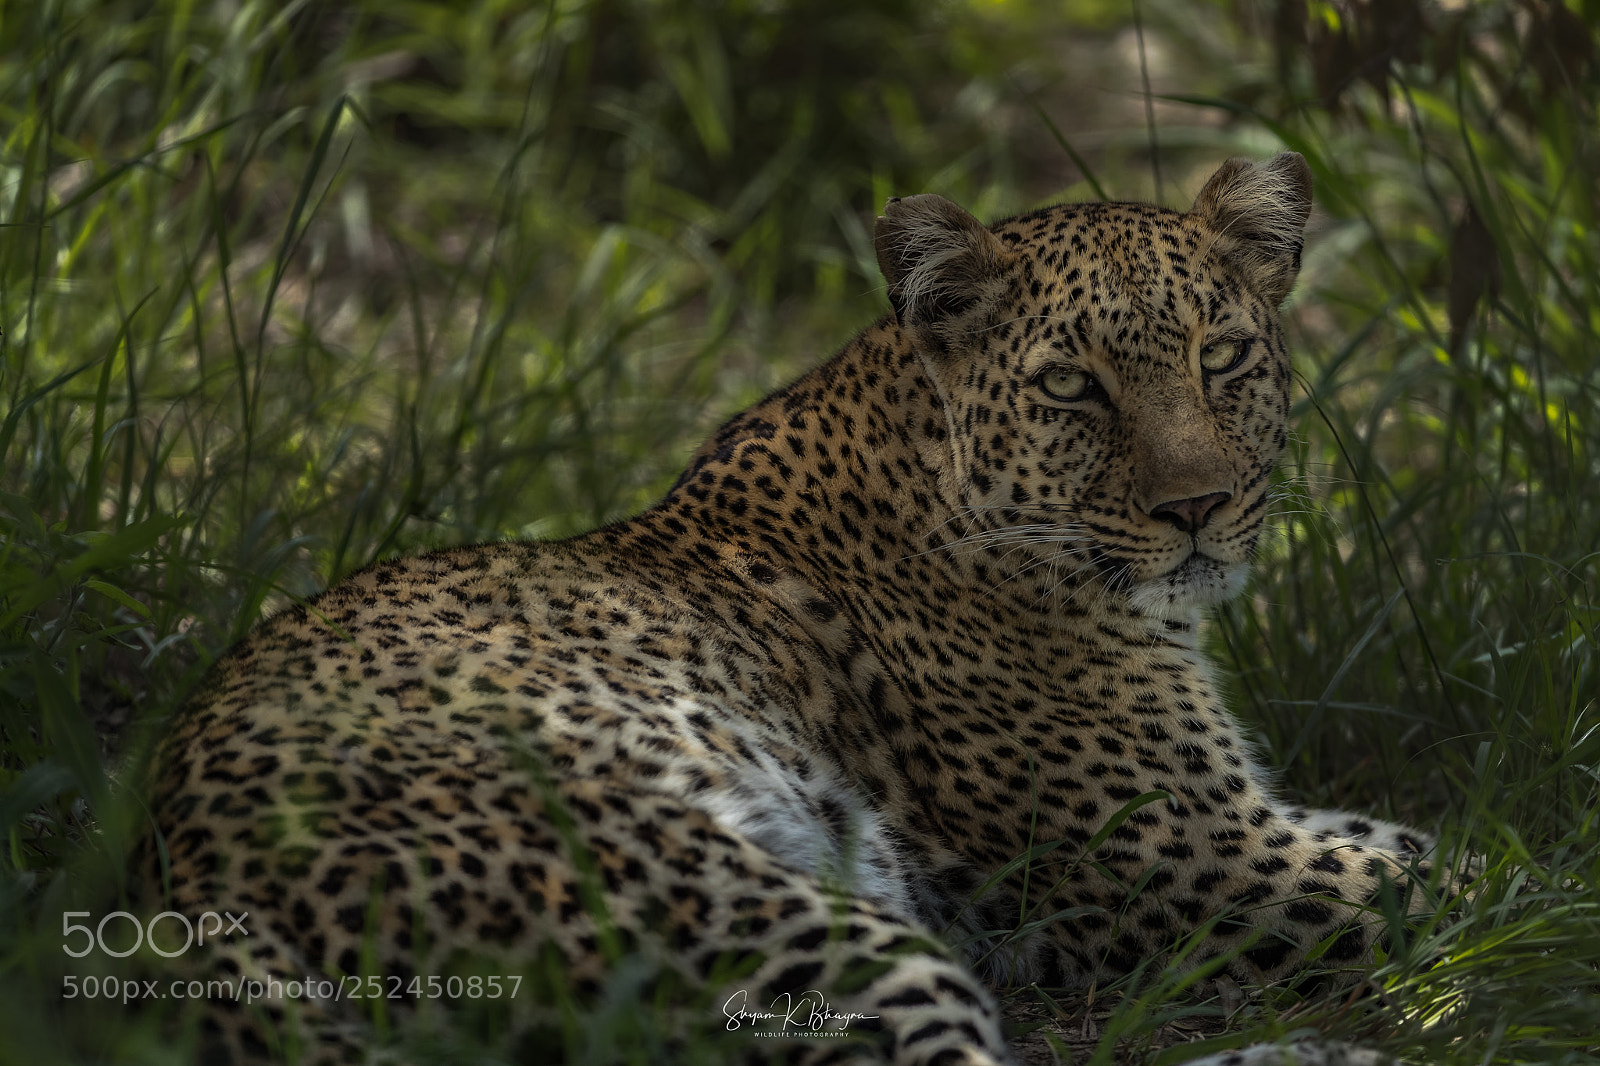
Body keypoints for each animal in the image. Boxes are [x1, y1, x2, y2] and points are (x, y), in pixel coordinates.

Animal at [135, 152, 1444, 1066]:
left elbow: (1426, 843)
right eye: (1073, 385)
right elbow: (1458, 874)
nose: (1197, 506)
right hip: (759, 916)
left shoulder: (1242, 834)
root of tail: (193, 885)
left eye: (1222, 357)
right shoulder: (1216, 855)